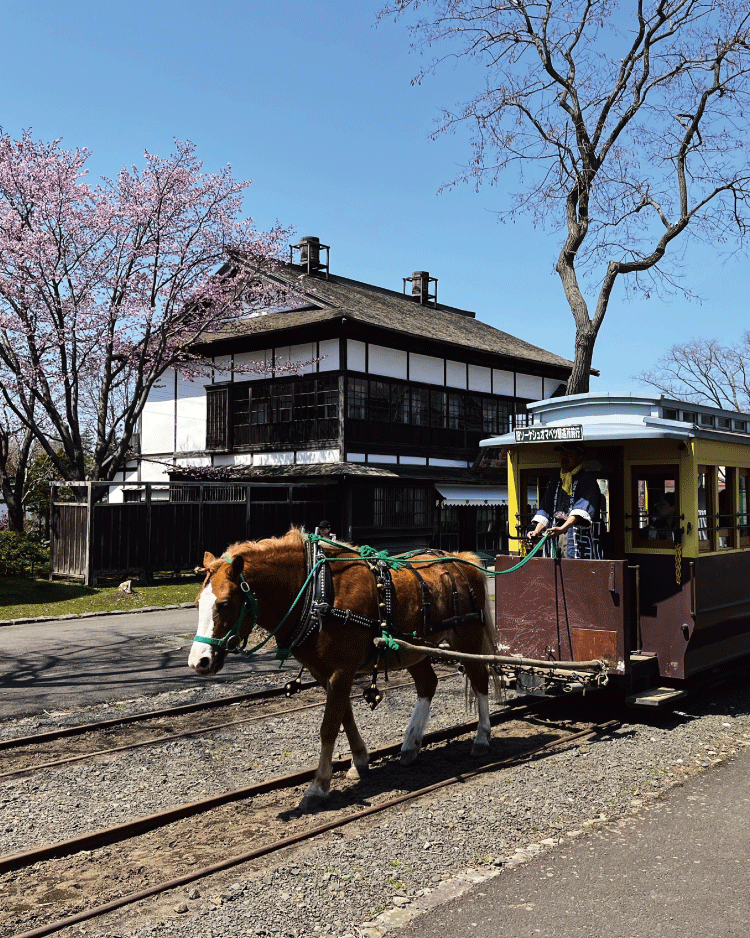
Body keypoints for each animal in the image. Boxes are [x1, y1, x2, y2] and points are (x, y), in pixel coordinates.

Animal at [188, 524, 500, 808]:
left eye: (225, 603)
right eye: (197, 603)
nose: (198, 661)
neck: (316, 592)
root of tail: (462, 560)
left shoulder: (341, 670)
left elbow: (329, 726)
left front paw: (318, 785)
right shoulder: (327, 673)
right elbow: (344, 716)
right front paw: (359, 760)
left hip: (467, 639)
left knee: (479, 680)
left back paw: (482, 738)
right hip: (412, 649)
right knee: (427, 684)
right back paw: (411, 744)